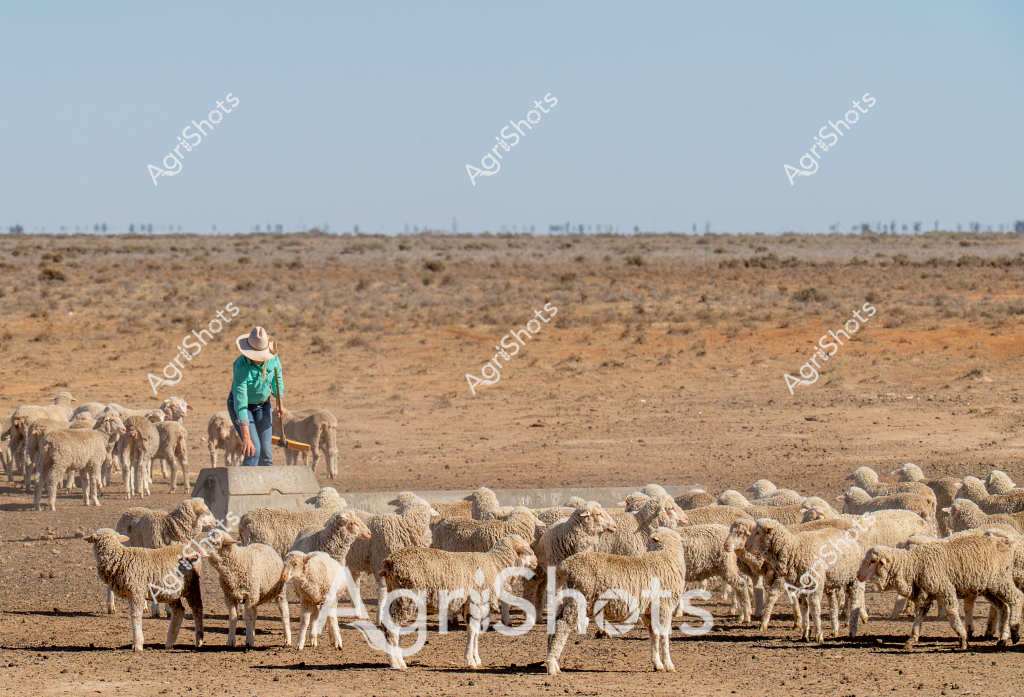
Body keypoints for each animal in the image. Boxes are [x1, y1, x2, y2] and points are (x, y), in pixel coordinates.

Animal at [379, 534, 538, 669]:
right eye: (526, 548)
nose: (536, 562)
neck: (495, 565)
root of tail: (390, 561)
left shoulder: (476, 605)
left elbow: (475, 632)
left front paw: (476, 658)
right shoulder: (475, 603)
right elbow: (472, 631)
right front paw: (471, 660)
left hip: (396, 596)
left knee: (394, 627)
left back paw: (400, 660)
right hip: (405, 597)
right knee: (392, 627)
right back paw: (396, 663)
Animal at [546, 527, 687, 675]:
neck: (666, 555)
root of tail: (564, 566)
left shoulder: (649, 610)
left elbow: (654, 635)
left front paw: (657, 664)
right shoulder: (664, 606)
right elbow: (664, 636)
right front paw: (669, 664)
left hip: (565, 600)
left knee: (555, 624)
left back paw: (553, 663)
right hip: (578, 601)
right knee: (562, 626)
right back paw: (551, 665)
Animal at [857, 533, 1023, 650]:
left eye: (873, 561)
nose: (858, 575)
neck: (914, 565)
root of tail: (1005, 546)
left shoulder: (945, 590)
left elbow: (952, 615)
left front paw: (963, 638)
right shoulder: (924, 595)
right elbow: (919, 617)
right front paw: (912, 639)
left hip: (999, 580)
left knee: (1017, 598)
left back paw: (1014, 631)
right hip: (989, 588)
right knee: (1004, 608)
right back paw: (1003, 638)